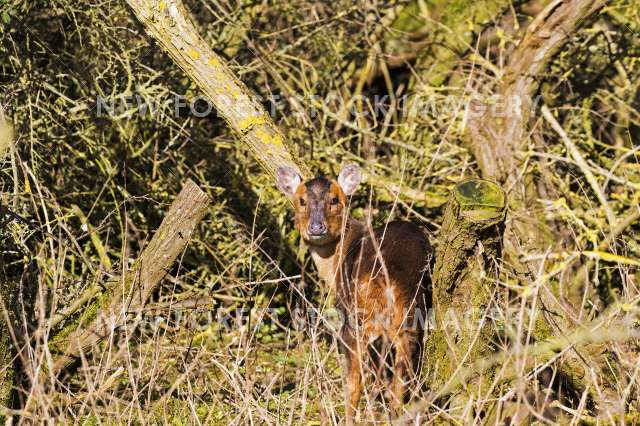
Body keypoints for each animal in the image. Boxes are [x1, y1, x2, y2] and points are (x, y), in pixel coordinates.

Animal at [278, 163, 432, 422]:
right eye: (301, 201)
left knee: (356, 379)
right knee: (402, 369)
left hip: (357, 314)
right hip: (410, 311)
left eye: (334, 199)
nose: (316, 227)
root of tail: (386, 275)